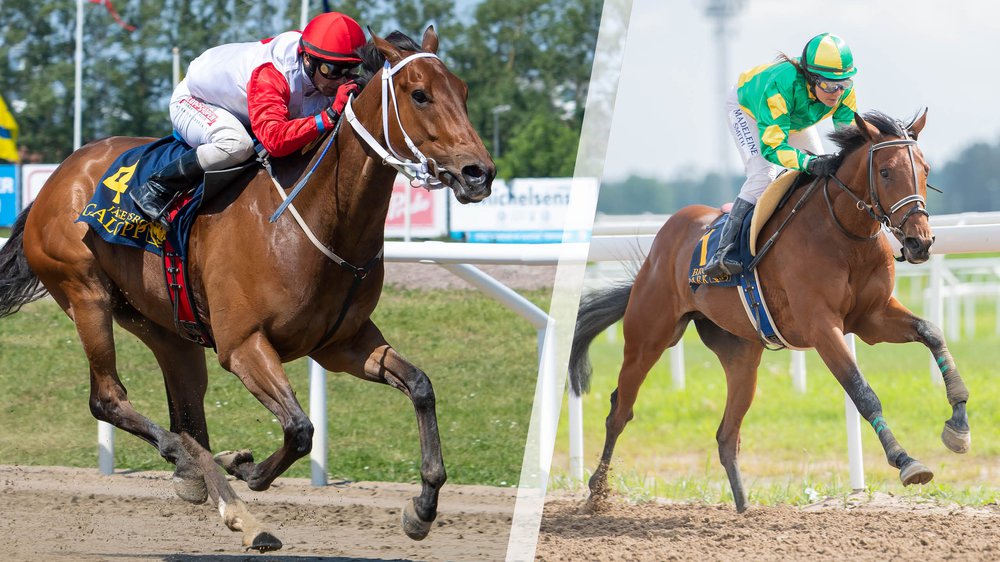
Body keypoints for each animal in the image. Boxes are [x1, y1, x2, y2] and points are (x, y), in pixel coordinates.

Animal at [0, 27, 494, 548]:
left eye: (462, 90)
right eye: (420, 95)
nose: (479, 173)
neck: (314, 218)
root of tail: (57, 177)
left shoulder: (343, 344)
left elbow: (420, 385)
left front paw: (423, 506)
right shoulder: (243, 345)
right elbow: (299, 428)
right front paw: (250, 470)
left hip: (165, 327)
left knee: (188, 418)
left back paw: (209, 480)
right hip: (86, 293)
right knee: (111, 400)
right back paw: (218, 487)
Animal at [572, 110, 968, 512]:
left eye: (925, 170)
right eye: (886, 172)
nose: (920, 242)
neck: (844, 234)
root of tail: (661, 243)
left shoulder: (871, 318)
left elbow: (931, 331)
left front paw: (958, 424)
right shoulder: (821, 327)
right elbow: (861, 391)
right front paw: (906, 461)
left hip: (741, 355)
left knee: (726, 434)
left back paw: (745, 508)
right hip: (649, 337)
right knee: (620, 410)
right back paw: (597, 491)